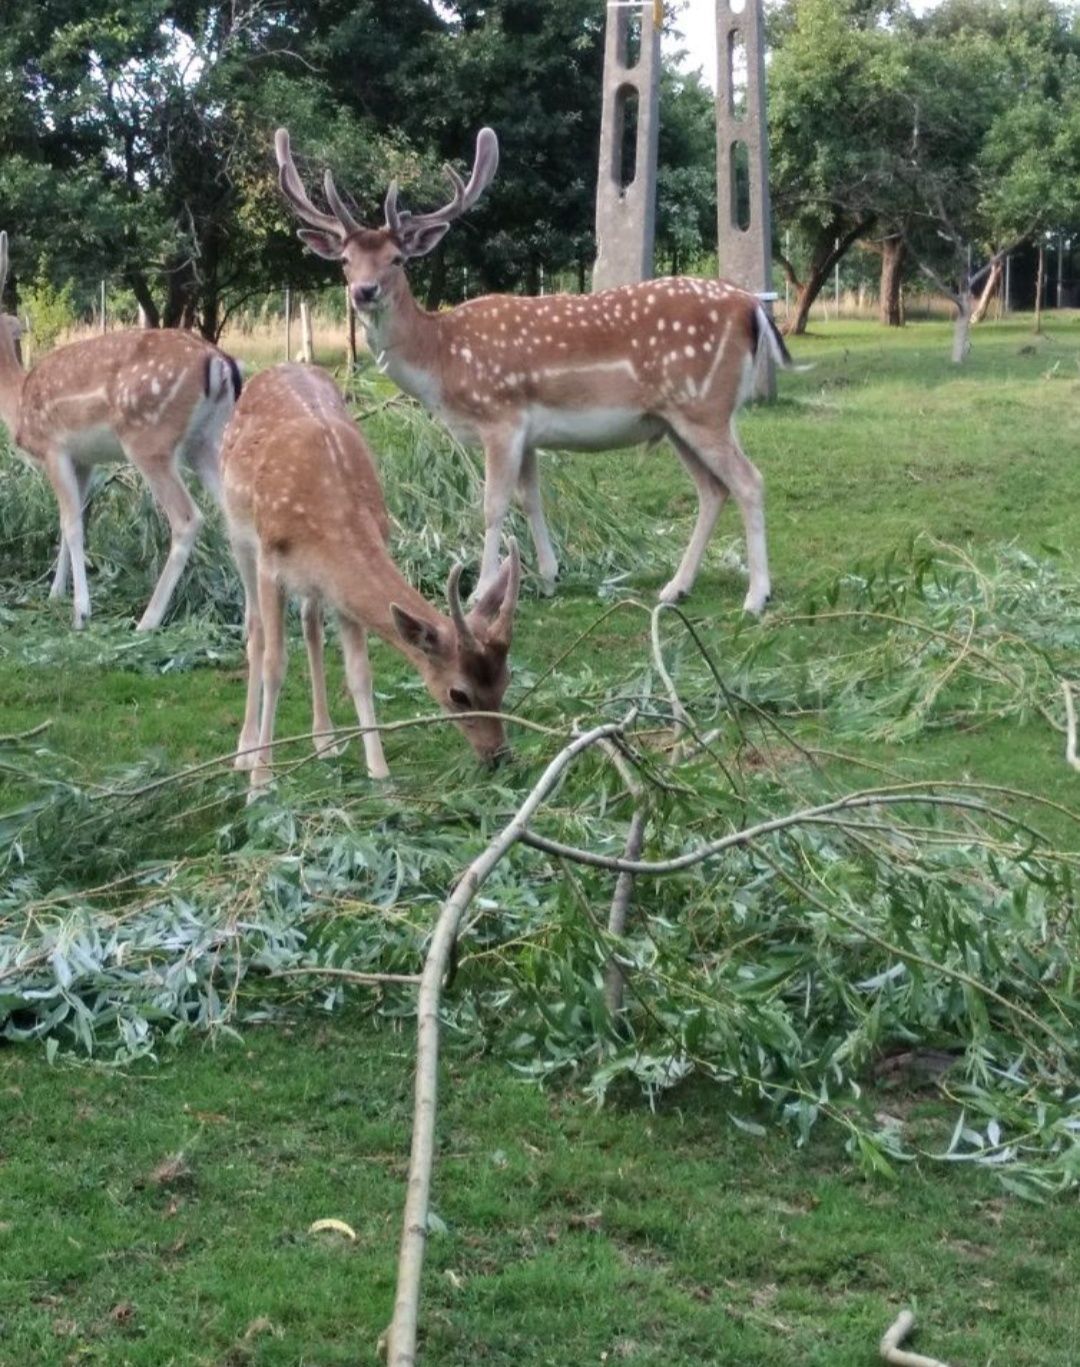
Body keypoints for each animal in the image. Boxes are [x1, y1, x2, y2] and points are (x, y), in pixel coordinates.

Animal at [0, 228, 239, 628]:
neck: (16, 401)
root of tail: (219, 362)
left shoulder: (53, 448)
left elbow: (72, 525)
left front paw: (80, 611)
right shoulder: (83, 459)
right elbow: (71, 520)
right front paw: (54, 594)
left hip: (150, 439)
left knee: (187, 518)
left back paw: (148, 621)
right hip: (206, 440)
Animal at [217, 363, 522, 792]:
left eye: (505, 680)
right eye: (458, 695)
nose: (498, 756)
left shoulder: (340, 587)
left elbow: (360, 672)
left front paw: (380, 773)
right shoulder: (270, 564)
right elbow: (275, 664)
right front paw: (261, 781)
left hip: (314, 585)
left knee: (310, 624)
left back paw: (325, 740)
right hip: (238, 534)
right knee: (255, 630)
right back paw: (244, 752)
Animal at [270, 125, 792, 617]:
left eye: (397, 259)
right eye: (344, 260)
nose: (364, 291)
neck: (441, 360)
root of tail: (752, 306)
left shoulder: (500, 416)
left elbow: (492, 504)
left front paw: (481, 588)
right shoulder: (528, 432)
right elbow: (531, 497)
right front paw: (547, 575)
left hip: (704, 407)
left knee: (749, 481)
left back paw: (756, 596)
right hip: (679, 419)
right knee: (713, 490)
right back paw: (675, 588)